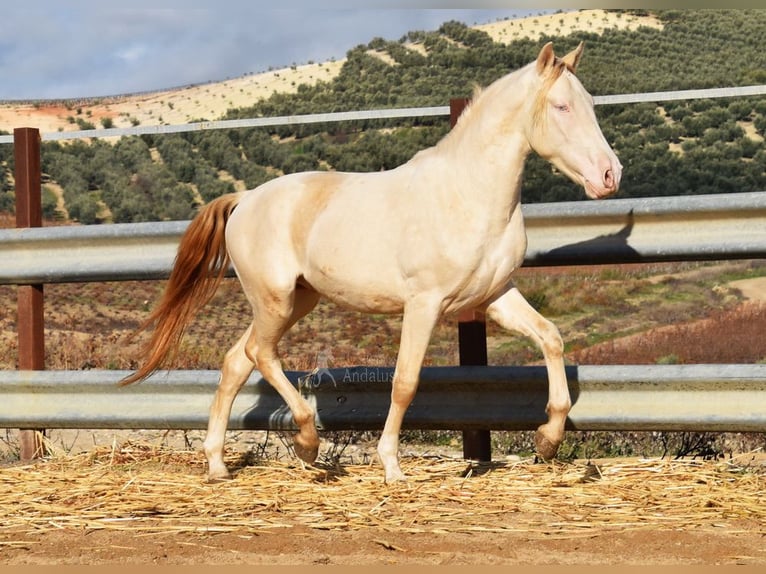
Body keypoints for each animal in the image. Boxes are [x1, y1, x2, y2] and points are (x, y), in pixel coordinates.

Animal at [121, 42, 624, 486]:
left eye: (590, 104)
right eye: (561, 107)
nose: (610, 175)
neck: (468, 195)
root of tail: (244, 199)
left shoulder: (494, 296)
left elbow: (551, 338)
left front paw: (547, 439)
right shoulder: (424, 303)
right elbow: (405, 382)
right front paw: (391, 467)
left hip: (295, 302)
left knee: (235, 361)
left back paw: (218, 465)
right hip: (275, 300)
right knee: (259, 354)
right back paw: (307, 443)